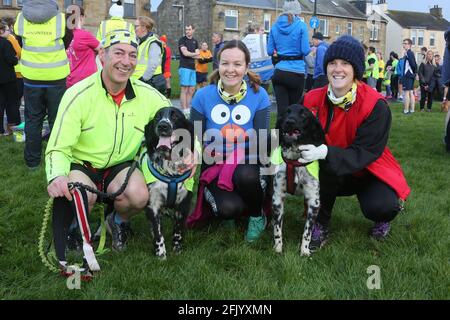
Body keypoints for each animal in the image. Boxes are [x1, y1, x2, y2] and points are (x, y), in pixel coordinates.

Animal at [142, 107, 195, 260]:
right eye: (157, 117)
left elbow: (178, 231)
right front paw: (161, 254)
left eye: (175, 116)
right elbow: (158, 233)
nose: (163, 126)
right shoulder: (153, 204)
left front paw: (177, 250)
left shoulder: (183, 203)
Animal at [272, 104, 326, 256]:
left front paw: (305, 251)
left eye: (304, 115)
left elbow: (307, 232)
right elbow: (277, 228)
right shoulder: (277, 197)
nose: (289, 121)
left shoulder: (314, 200)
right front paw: (277, 248)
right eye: (287, 112)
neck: (294, 161)